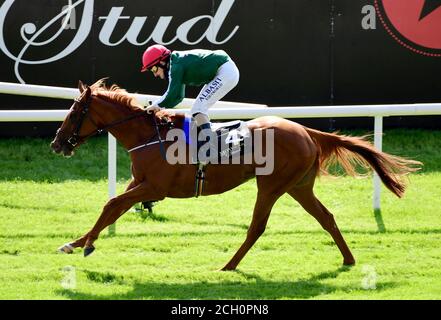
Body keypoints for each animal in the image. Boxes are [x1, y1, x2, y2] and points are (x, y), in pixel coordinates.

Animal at [49, 79, 422, 270]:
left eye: (75, 112)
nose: (56, 143)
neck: (149, 135)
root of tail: (306, 130)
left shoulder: (154, 187)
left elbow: (111, 205)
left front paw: (85, 245)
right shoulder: (140, 184)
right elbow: (114, 207)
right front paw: (76, 243)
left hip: (272, 185)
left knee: (257, 226)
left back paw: (229, 265)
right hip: (299, 186)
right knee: (326, 217)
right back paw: (348, 259)